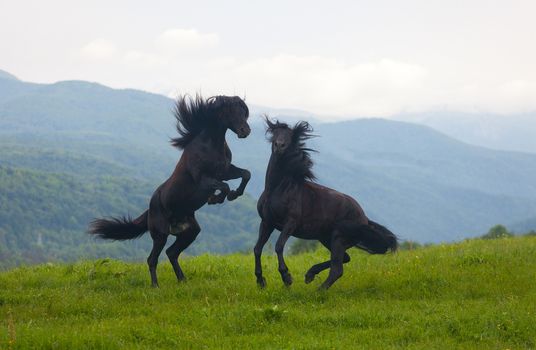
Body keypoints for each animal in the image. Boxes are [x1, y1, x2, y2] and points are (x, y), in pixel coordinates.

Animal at [89, 94, 252, 286]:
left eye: (244, 111)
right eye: (230, 111)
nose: (245, 131)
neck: (211, 145)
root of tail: (150, 209)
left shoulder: (225, 171)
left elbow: (245, 174)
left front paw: (234, 195)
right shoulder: (203, 180)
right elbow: (224, 186)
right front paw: (216, 199)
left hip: (190, 232)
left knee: (171, 253)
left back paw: (182, 280)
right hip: (160, 234)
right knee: (152, 259)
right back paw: (155, 286)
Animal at [255, 117, 398, 290]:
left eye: (291, 137)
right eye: (275, 134)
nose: (279, 146)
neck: (277, 189)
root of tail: (364, 219)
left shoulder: (290, 223)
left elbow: (278, 246)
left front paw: (287, 277)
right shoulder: (267, 222)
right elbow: (257, 249)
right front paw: (260, 281)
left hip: (338, 238)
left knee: (338, 269)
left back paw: (317, 289)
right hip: (326, 238)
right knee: (345, 258)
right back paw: (310, 275)